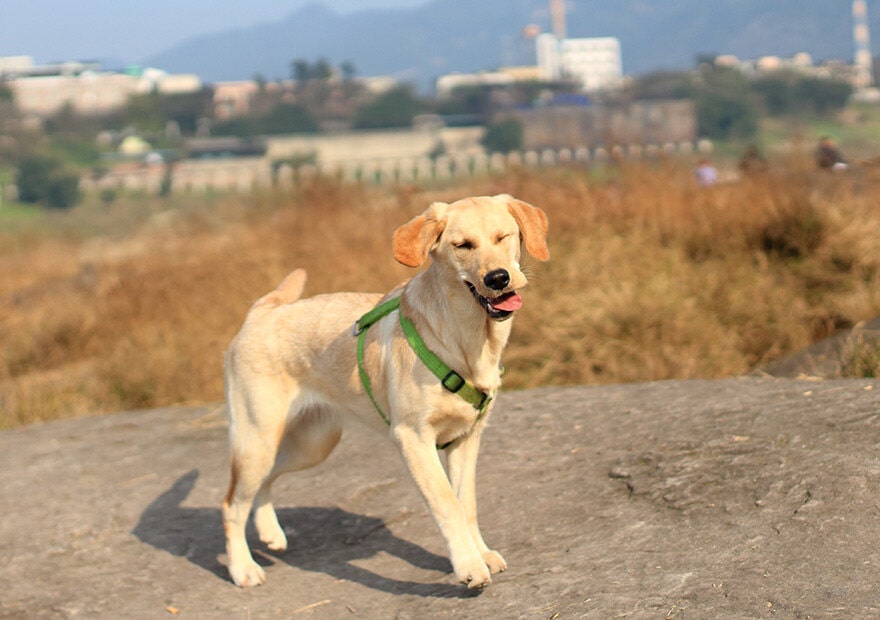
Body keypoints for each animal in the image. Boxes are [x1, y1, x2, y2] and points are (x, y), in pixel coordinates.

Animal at [223, 193, 548, 588]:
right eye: (462, 245)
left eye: (504, 237)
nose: (498, 278)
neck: (465, 340)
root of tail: (261, 313)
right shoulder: (413, 440)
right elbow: (447, 504)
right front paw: (469, 564)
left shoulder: (466, 440)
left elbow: (466, 503)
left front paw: (481, 552)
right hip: (258, 440)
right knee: (231, 503)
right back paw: (242, 567)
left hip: (312, 444)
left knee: (263, 484)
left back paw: (269, 531)